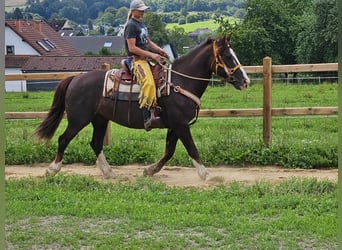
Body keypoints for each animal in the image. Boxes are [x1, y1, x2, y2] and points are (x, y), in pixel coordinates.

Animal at [35, 35, 248, 180]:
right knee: (64, 139)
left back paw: (109, 172)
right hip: (79, 119)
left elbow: (169, 151)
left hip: (100, 119)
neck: (179, 82)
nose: (245, 81)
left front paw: (150, 170)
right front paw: (207, 175)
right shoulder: (180, 124)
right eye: (228, 56)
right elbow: (191, 148)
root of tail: (75, 79)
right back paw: (52, 169)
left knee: (95, 143)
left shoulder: (175, 126)